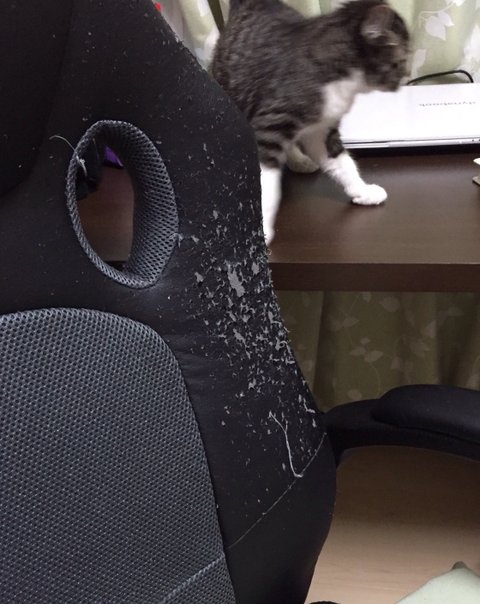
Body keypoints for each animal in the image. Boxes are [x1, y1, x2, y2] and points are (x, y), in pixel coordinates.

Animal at [211, 0, 410, 243]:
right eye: (401, 61)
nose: (405, 77)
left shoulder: (321, 131)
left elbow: (343, 164)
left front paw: (362, 191)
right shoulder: (269, 126)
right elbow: (267, 183)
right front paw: (263, 230)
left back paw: (299, 160)